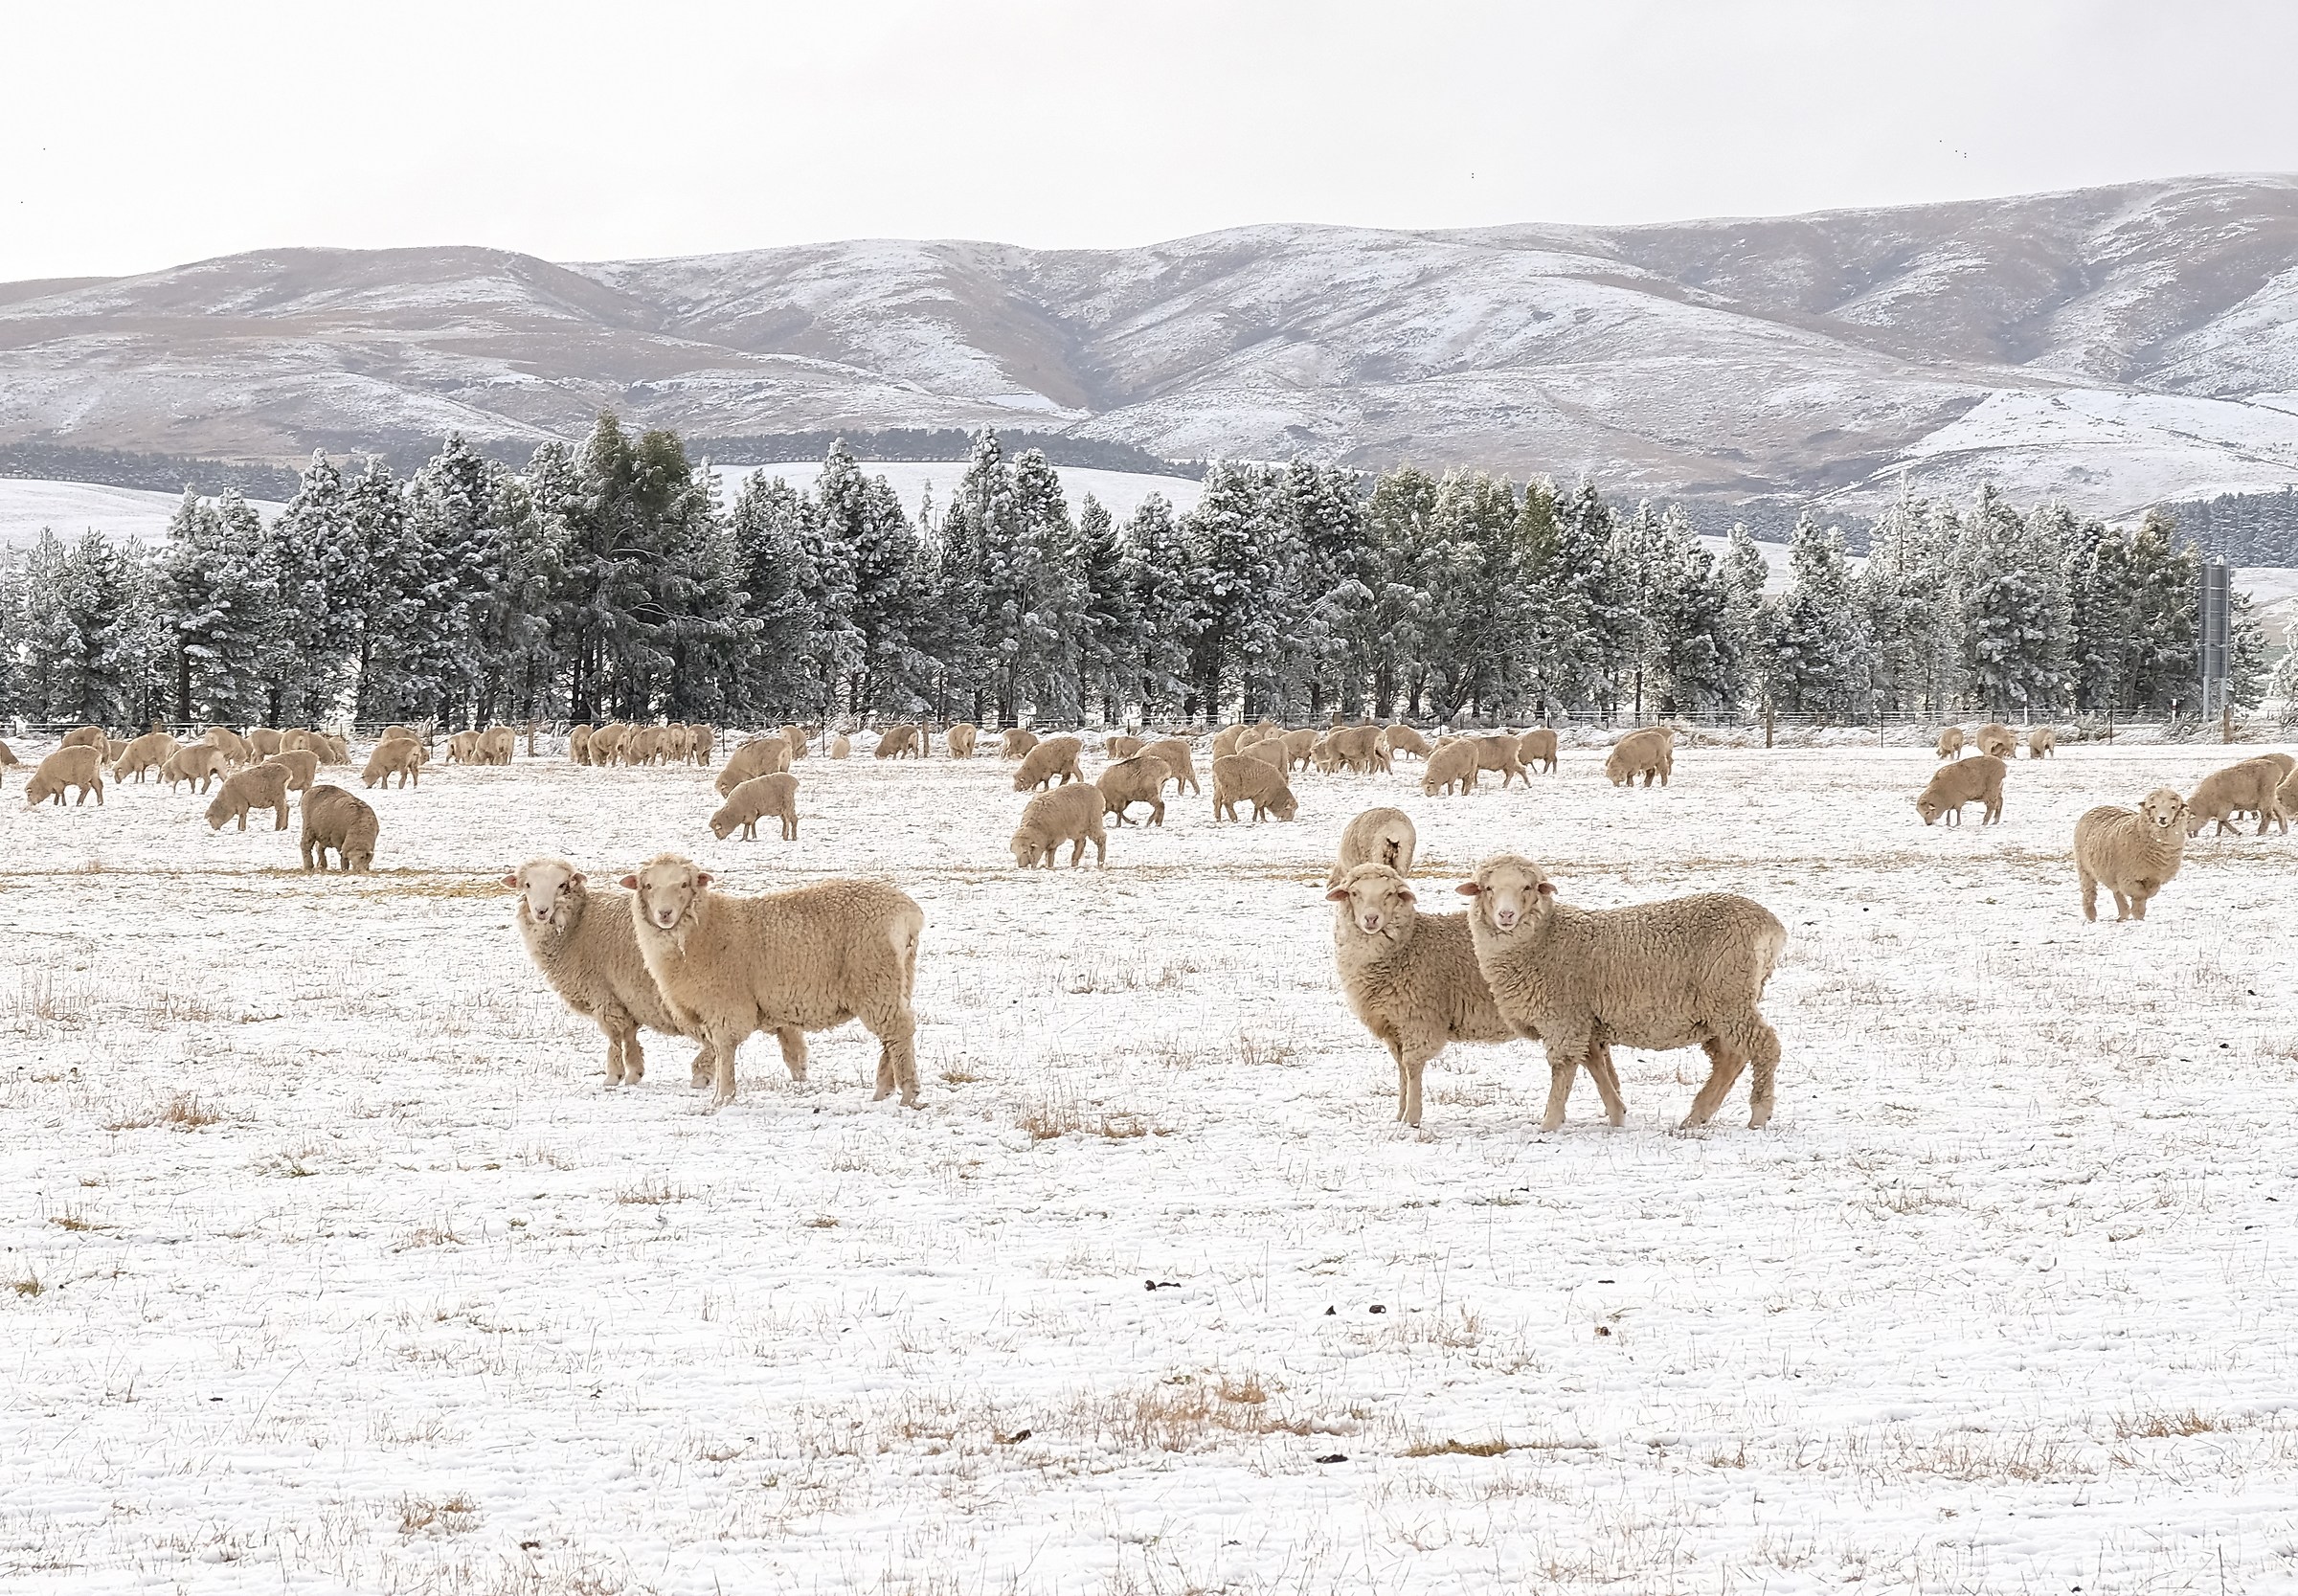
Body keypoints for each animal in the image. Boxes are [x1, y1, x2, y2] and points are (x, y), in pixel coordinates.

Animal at [506, 858, 717, 1087]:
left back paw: (702, 1076)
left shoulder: (603, 994)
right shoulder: (626, 998)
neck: (578, 924)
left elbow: (614, 1037)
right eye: (527, 884)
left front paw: (613, 1076)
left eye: (562, 885)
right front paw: (634, 1073)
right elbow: (629, 1035)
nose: (541, 911)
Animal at [622, 852, 926, 1108]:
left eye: (684, 884)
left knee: (899, 1029)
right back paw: (883, 1091)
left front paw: (721, 1099)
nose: (664, 914)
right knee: (893, 1035)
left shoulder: (726, 1005)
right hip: (898, 978)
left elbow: (724, 1050)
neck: (704, 928)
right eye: (647, 886)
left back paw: (908, 1094)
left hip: (875, 977)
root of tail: (909, 911)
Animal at [1327, 863, 1517, 1126]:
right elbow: (1401, 1068)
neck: (1410, 945)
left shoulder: (1418, 1020)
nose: (1371, 919)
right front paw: (1400, 1114)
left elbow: (1412, 1066)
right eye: (1354, 893)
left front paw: (1412, 1118)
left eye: (1389, 894)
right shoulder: (1394, 1027)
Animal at [1458, 853, 1787, 1130]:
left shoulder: (1563, 1018)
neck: (1546, 937)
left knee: (1764, 1045)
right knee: (1731, 1056)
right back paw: (1696, 1117)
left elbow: (1563, 1067)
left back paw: (1758, 1115)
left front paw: (1549, 1124)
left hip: (1728, 995)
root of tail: (1772, 925)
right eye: (1487, 888)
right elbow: (1595, 1064)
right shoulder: (1586, 1019)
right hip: (1719, 1006)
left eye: (1527, 887)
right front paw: (1617, 1113)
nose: (1506, 915)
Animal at [2074, 788, 2188, 922]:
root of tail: (2097, 807)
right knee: (2090, 893)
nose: (2162, 818)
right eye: (2153, 806)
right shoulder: (2127, 878)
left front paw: (2139, 915)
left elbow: (2150, 893)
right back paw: (2091, 916)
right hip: (2084, 869)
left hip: (2110, 872)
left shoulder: (2154, 878)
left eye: (2173, 807)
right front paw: (2138, 915)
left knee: (2116, 891)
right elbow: (2140, 894)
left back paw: (2122, 914)